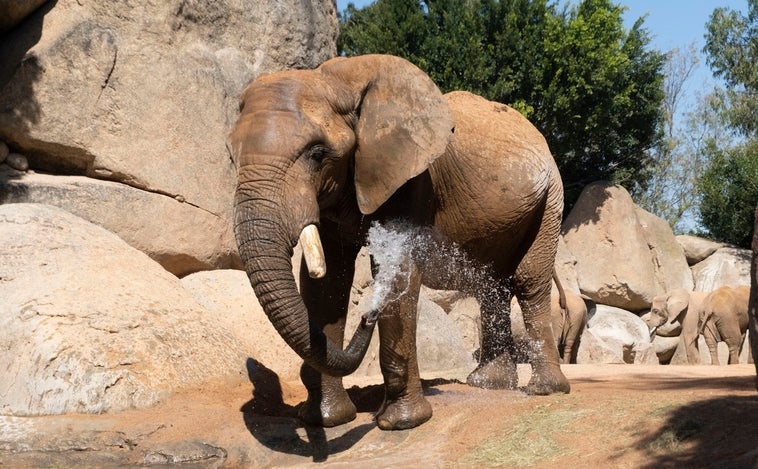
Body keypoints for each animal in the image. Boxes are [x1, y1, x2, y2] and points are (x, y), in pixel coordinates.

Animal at [232, 53, 568, 430]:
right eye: (231, 156)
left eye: (318, 154)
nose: (368, 316)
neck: (339, 80)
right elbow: (328, 282)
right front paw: (326, 420)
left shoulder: (412, 178)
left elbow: (399, 271)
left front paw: (400, 423)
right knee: (490, 286)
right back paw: (489, 385)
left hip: (551, 197)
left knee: (529, 281)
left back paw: (544, 390)